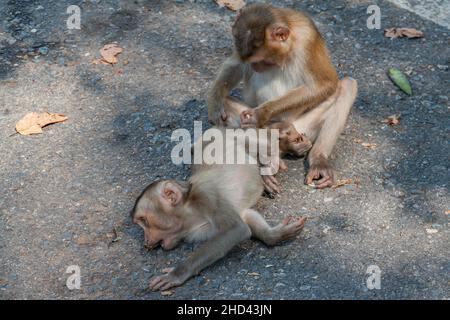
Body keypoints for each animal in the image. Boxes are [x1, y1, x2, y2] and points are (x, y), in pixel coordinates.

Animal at [132, 126, 308, 292]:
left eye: (143, 220)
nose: (146, 241)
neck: (190, 213)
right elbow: (245, 217)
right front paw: (275, 235)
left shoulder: (208, 196)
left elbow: (237, 228)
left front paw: (176, 274)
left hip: (229, 134)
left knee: (257, 142)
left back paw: (270, 159)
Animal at [207, 3, 358, 189]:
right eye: (253, 61)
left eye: (263, 60)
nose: (255, 67)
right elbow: (235, 65)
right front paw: (215, 104)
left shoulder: (308, 38)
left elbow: (326, 83)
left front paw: (260, 114)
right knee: (230, 110)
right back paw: (272, 156)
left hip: (305, 126)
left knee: (347, 86)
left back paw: (318, 159)